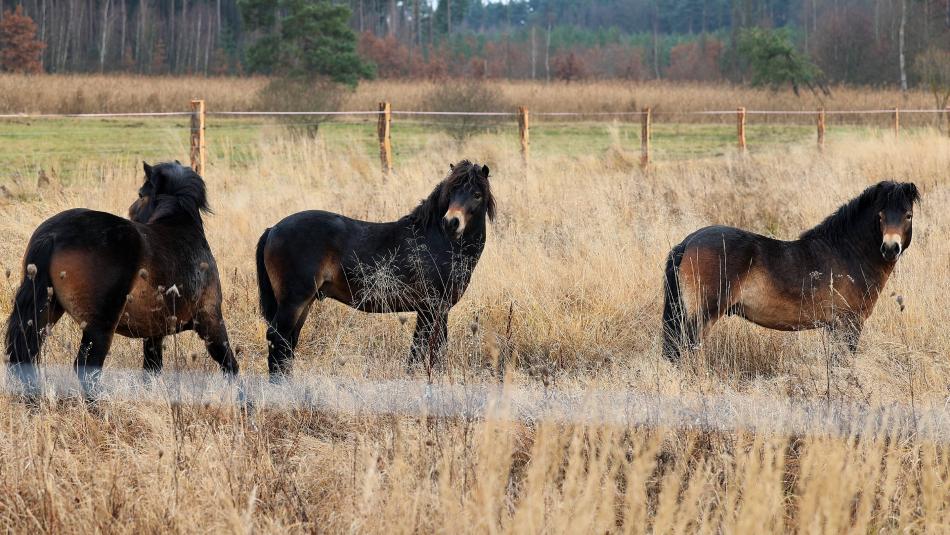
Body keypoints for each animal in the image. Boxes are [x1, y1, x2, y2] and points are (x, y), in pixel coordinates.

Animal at [6, 161, 242, 396]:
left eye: (140, 194)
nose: (131, 212)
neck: (179, 227)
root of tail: (54, 234)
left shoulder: (154, 332)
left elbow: (152, 369)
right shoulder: (210, 319)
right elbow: (230, 364)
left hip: (47, 311)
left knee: (26, 357)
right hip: (100, 326)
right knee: (87, 368)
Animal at [258, 160, 498, 382]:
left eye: (477, 194)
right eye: (451, 193)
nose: (451, 222)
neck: (437, 240)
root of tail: (273, 229)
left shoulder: (437, 310)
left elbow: (431, 348)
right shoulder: (431, 308)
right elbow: (423, 349)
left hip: (304, 303)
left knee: (288, 341)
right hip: (294, 302)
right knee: (278, 339)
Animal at [660, 181, 924, 364]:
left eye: (908, 215)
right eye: (880, 216)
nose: (890, 248)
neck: (847, 252)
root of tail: (689, 242)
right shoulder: (848, 324)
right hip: (700, 319)